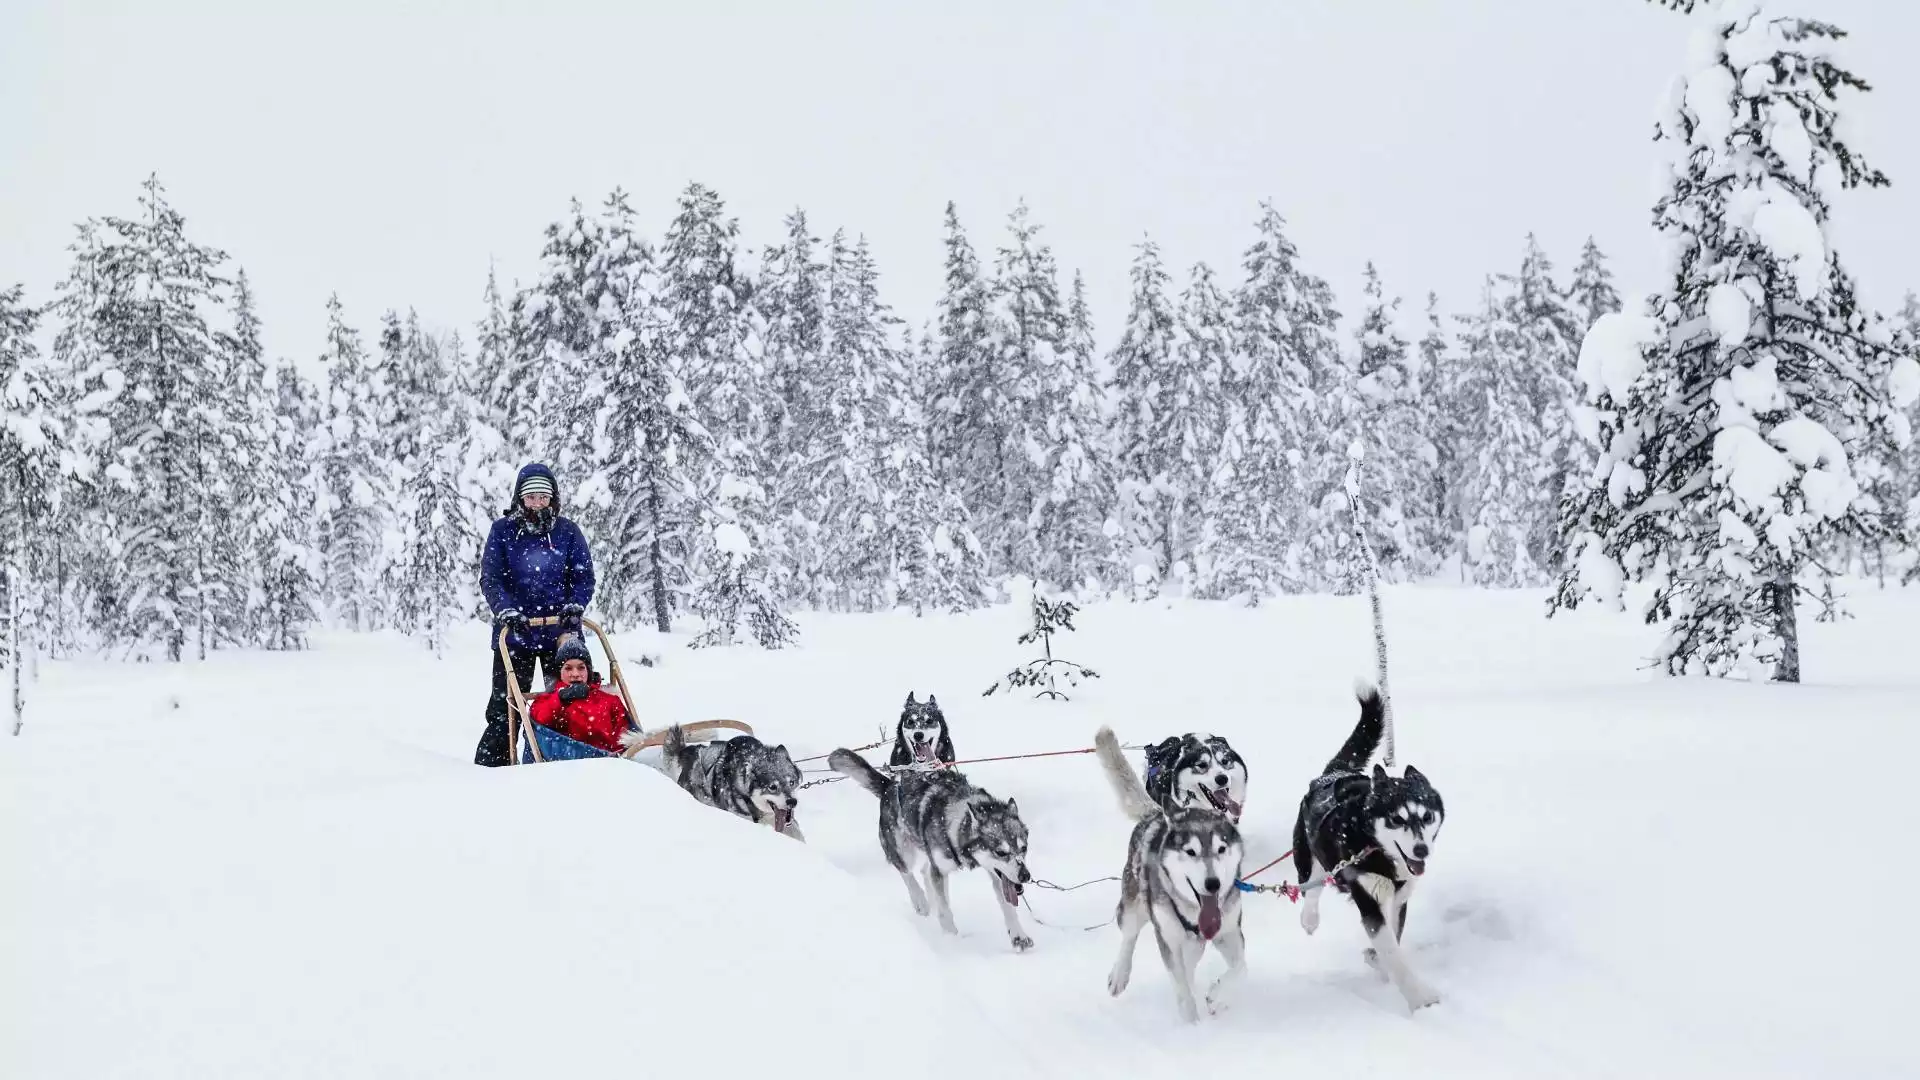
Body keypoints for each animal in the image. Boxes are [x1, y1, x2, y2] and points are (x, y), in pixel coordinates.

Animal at [829, 745, 1036, 945]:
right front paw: (951, 939)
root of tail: (889, 785)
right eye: (1000, 852)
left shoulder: (996, 872)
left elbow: (1008, 904)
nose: (1025, 876)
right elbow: (945, 910)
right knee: (906, 872)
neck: (957, 819)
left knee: (924, 872)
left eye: (1024, 848)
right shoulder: (941, 869)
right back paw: (920, 900)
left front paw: (1018, 935)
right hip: (902, 850)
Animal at [1098, 722, 1244, 1014]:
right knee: (1128, 934)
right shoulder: (1170, 941)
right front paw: (1191, 1021)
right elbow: (1183, 991)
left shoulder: (1230, 932)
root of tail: (1156, 813)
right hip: (1134, 904)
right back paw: (1120, 974)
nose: (1213, 884)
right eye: (1190, 852)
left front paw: (1218, 996)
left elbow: (1240, 969)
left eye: (1221, 849)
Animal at [1297, 680, 1443, 1006]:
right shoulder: (1367, 898)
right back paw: (1309, 918)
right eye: (1397, 819)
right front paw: (1420, 999)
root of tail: (1334, 773)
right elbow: (1392, 952)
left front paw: (1375, 959)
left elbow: (1392, 939)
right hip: (1307, 855)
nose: (1421, 850)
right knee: (1311, 885)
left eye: (1427, 816)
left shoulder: (1399, 898)